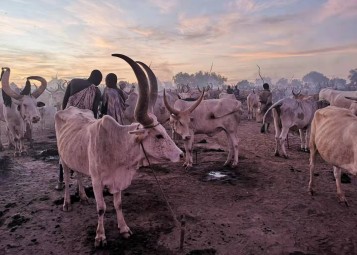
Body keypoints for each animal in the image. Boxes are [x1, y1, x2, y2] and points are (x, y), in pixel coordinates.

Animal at [57, 54, 184, 247]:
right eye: (158, 136)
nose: (181, 154)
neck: (117, 146)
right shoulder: (97, 181)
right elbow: (101, 208)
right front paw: (100, 236)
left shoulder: (117, 180)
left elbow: (118, 205)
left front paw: (124, 229)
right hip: (63, 158)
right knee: (66, 177)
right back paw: (66, 203)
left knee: (78, 173)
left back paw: (83, 197)